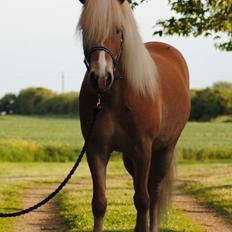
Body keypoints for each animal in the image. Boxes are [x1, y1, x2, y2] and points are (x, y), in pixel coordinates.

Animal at [78, 0, 190, 231]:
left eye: (118, 30)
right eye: (86, 30)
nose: (100, 78)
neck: (115, 98)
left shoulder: (142, 148)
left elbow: (142, 200)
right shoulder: (96, 149)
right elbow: (99, 203)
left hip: (163, 150)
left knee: (153, 191)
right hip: (130, 159)